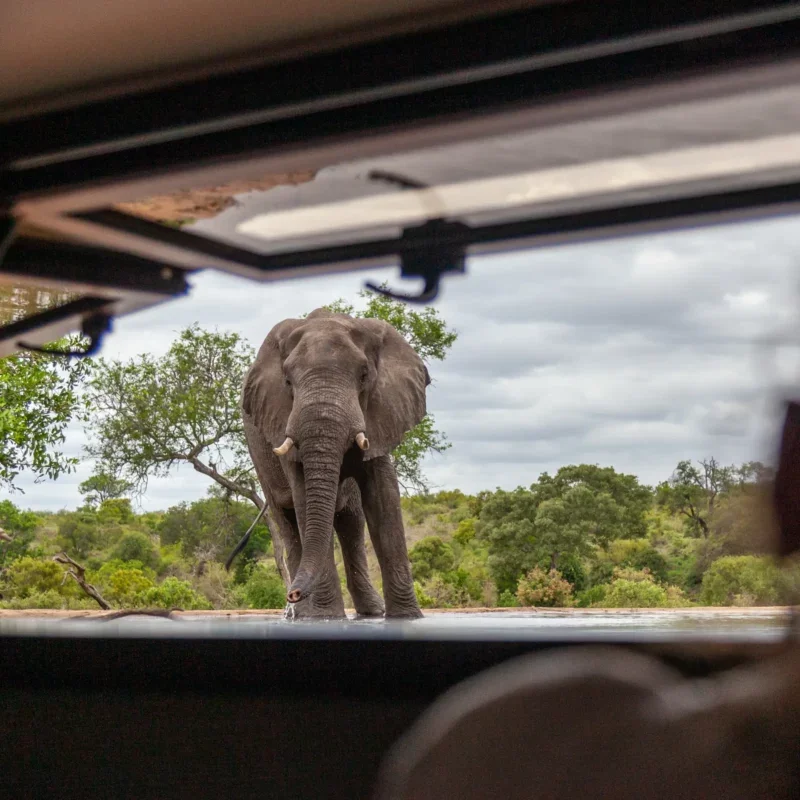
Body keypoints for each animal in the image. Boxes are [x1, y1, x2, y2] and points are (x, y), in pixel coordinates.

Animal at [240, 308, 428, 619]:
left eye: (364, 376)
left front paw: (407, 617)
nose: (293, 594)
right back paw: (303, 614)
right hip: (259, 455)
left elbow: (384, 498)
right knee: (287, 521)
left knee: (351, 520)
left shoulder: (381, 413)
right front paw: (325, 617)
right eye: (288, 382)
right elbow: (305, 501)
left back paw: (371, 612)